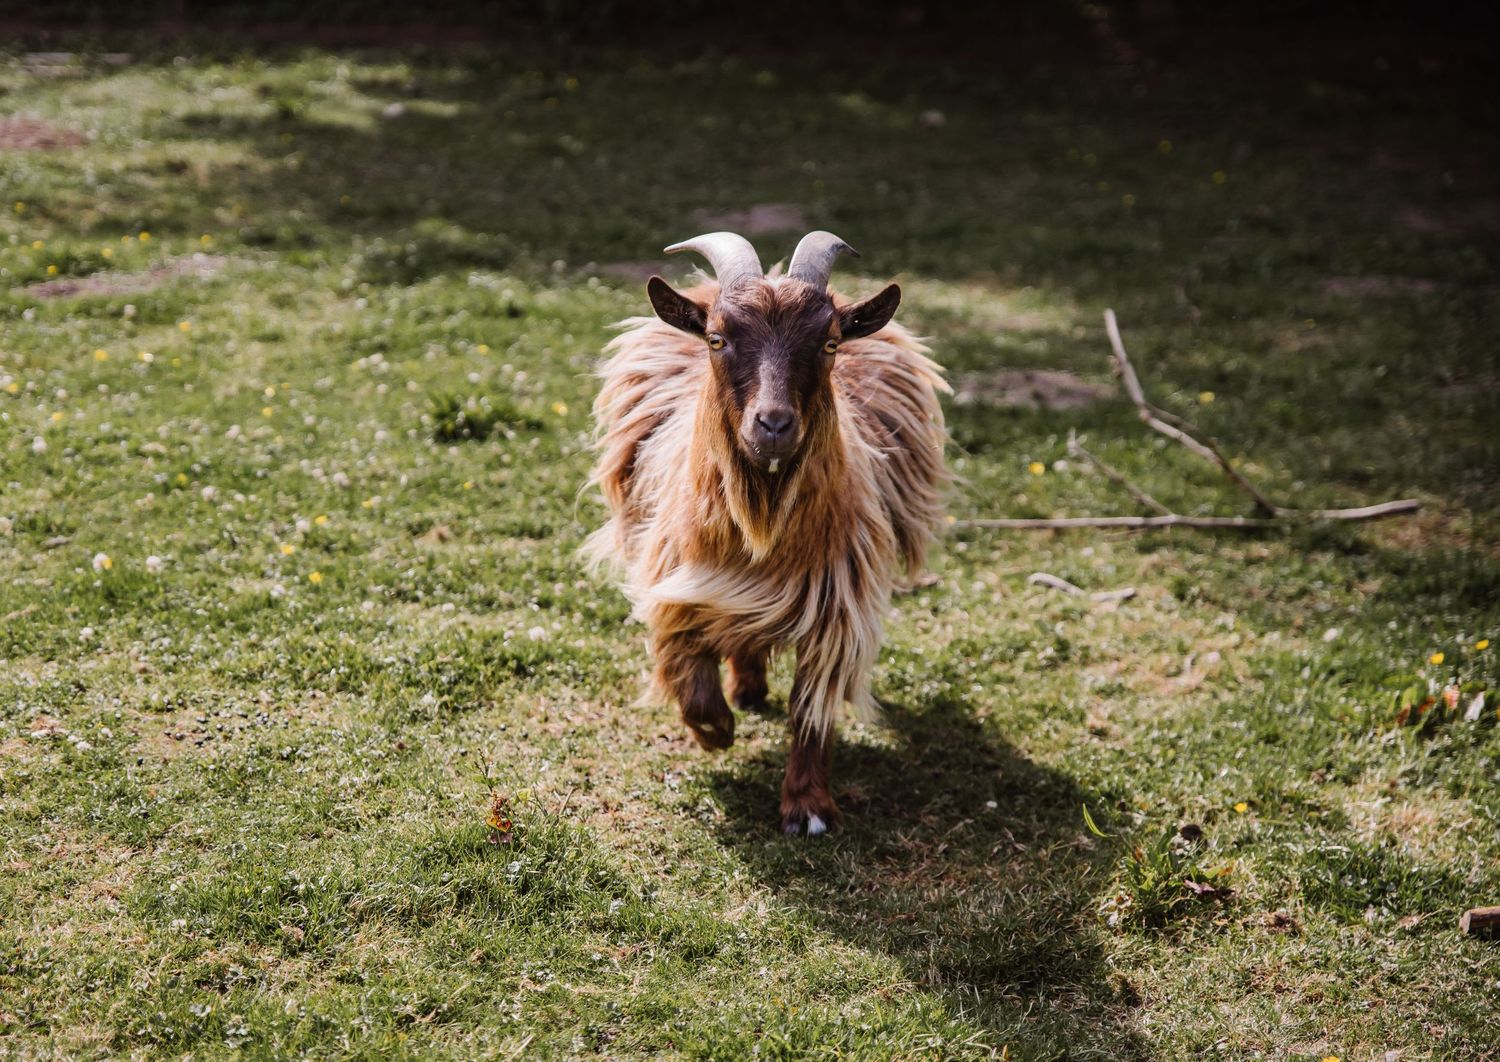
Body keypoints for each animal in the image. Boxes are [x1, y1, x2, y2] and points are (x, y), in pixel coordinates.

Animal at [587, 230, 948, 835]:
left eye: (830, 343)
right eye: (716, 338)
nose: (774, 425)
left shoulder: (836, 609)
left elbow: (810, 709)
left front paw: (807, 808)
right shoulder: (678, 584)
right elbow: (692, 682)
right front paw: (717, 733)